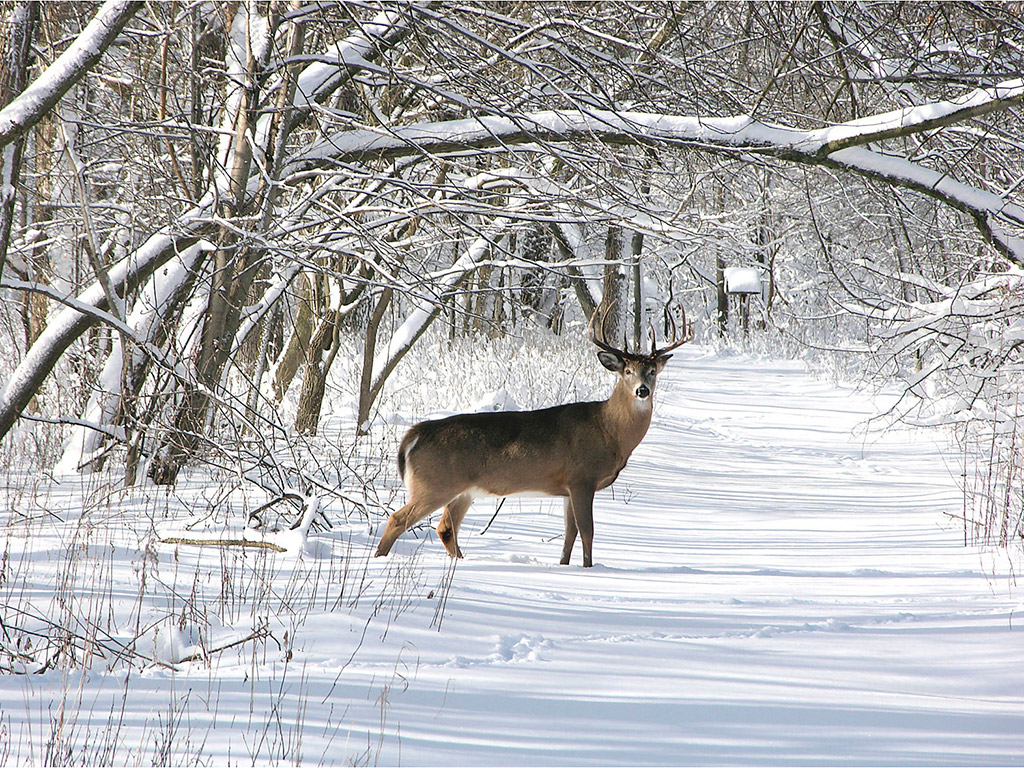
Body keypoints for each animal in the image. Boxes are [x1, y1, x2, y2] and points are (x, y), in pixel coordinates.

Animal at [373, 305, 694, 567]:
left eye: (652, 371)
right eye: (626, 371)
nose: (642, 390)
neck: (608, 430)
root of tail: (414, 435)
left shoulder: (567, 487)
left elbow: (569, 533)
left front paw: (564, 566)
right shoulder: (582, 477)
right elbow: (587, 531)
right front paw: (588, 570)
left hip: (463, 490)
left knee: (445, 529)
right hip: (435, 484)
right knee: (397, 518)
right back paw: (379, 561)